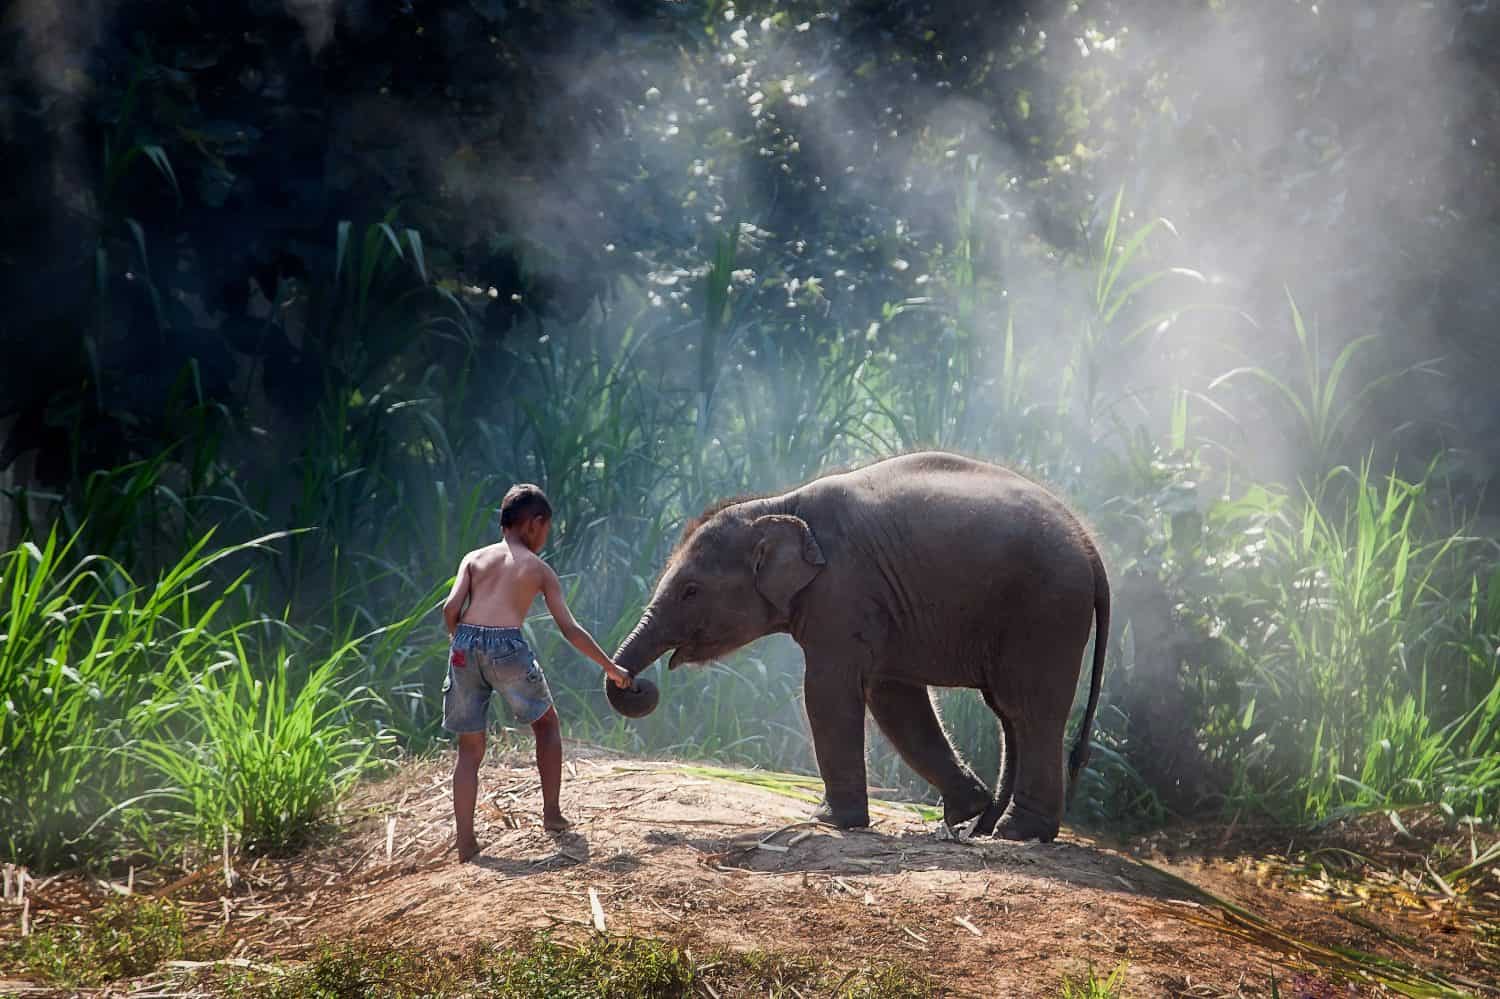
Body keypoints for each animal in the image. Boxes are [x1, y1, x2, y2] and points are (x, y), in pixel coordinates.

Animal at [603, 447, 1110, 834]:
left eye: (690, 590)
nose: (637, 684)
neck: (778, 505)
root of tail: (1089, 545)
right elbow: (892, 696)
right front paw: (964, 812)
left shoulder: (843, 590)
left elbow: (828, 690)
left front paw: (828, 822)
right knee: (1007, 713)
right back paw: (983, 827)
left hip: (1046, 610)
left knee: (1029, 709)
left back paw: (1018, 833)